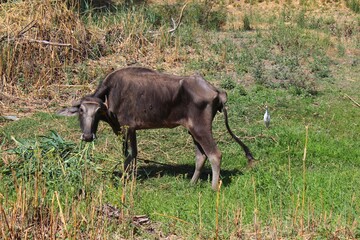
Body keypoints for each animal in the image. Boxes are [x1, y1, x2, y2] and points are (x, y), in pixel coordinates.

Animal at [58, 66, 253, 190]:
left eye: (98, 111)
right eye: (81, 111)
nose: (87, 136)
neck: (112, 91)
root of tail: (217, 92)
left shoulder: (127, 127)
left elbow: (128, 156)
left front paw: (125, 180)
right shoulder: (132, 129)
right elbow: (132, 154)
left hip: (201, 129)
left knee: (215, 155)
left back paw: (213, 188)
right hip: (192, 130)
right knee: (201, 156)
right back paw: (191, 184)